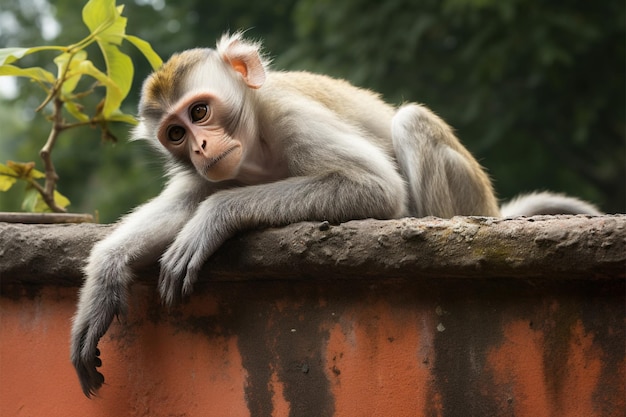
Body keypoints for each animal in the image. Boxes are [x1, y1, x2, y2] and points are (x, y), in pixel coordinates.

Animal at [69, 32, 600, 396]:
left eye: (199, 112)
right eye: (175, 134)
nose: (199, 147)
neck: (258, 147)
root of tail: (491, 209)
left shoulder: (289, 117)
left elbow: (376, 186)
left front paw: (212, 218)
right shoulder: (213, 170)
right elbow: (184, 202)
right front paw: (105, 275)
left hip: (469, 199)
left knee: (410, 123)